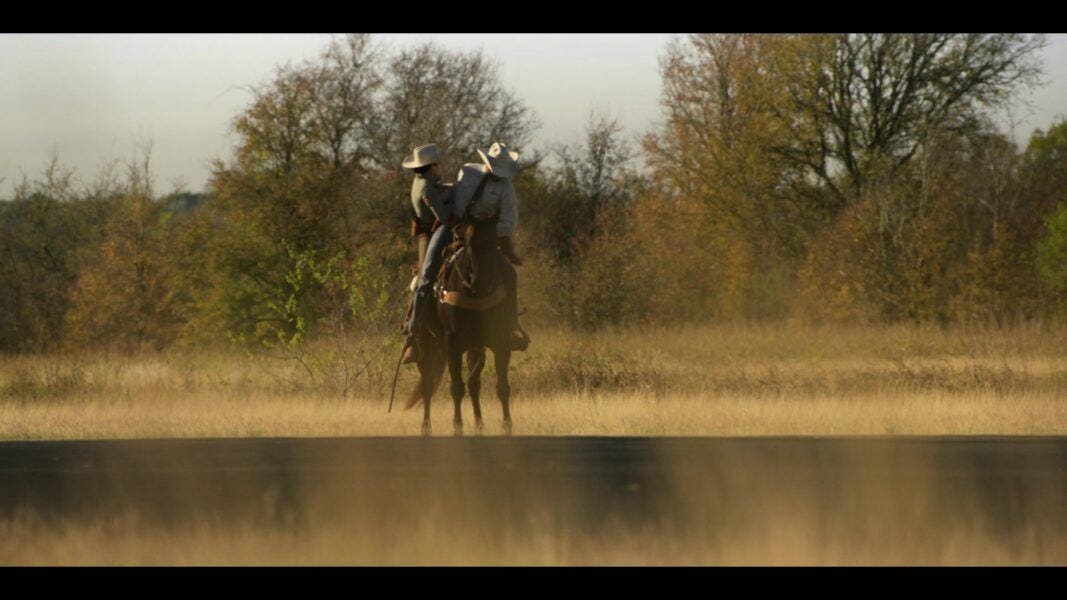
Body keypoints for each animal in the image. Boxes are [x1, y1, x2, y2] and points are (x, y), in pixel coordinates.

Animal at [400, 213, 517, 436]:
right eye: (470, 244)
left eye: (495, 242)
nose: (481, 281)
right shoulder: (452, 344)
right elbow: (456, 387)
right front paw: (457, 427)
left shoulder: (501, 342)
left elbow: (502, 386)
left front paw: (507, 426)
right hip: (425, 343)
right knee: (427, 383)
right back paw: (426, 426)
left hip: (475, 347)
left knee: (473, 383)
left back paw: (479, 424)